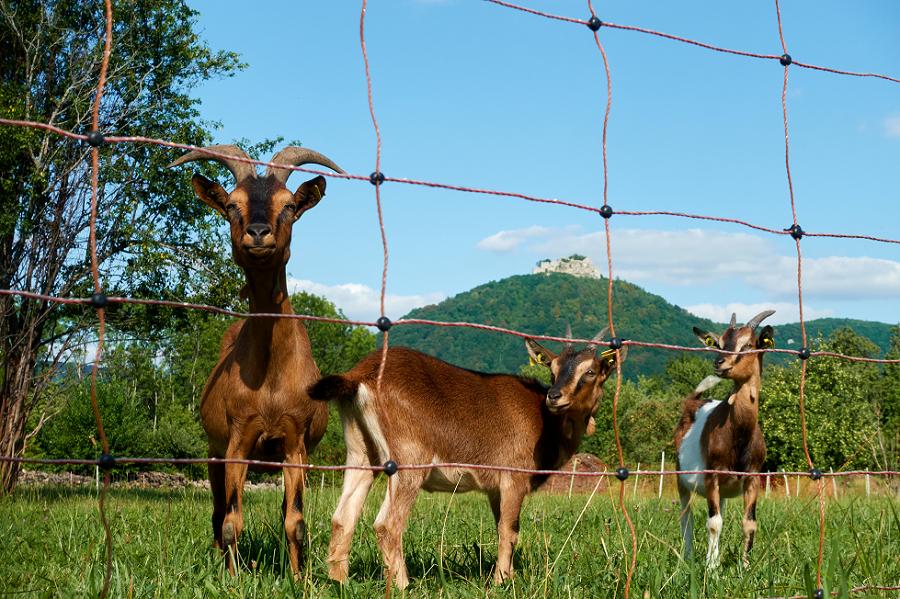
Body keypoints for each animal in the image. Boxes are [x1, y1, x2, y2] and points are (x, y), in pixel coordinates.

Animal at [168, 144, 343, 575]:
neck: (270, 379)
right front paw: (232, 578)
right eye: (232, 204)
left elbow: (295, 521)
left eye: (288, 205)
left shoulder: (295, 445)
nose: (259, 233)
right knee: (217, 512)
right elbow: (232, 520)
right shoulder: (236, 441)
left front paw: (299, 578)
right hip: (213, 453)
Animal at [306, 328, 626, 588]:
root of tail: (360, 375)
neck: (544, 423)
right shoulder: (513, 476)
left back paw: (339, 582)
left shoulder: (495, 489)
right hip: (408, 460)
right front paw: (501, 582)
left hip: (360, 453)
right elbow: (509, 530)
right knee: (387, 524)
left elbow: (505, 529)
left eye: (591, 371)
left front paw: (505, 576)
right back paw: (403, 586)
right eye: (553, 369)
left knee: (342, 518)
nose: (555, 396)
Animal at [674, 310, 775, 568]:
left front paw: (745, 566)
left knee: (722, 513)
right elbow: (713, 523)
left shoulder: (752, 477)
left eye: (748, 345)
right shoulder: (712, 476)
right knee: (687, 517)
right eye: (718, 343)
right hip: (681, 479)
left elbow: (749, 523)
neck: (739, 437)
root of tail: (693, 401)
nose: (719, 363)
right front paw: (711, 567)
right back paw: (688, 558)